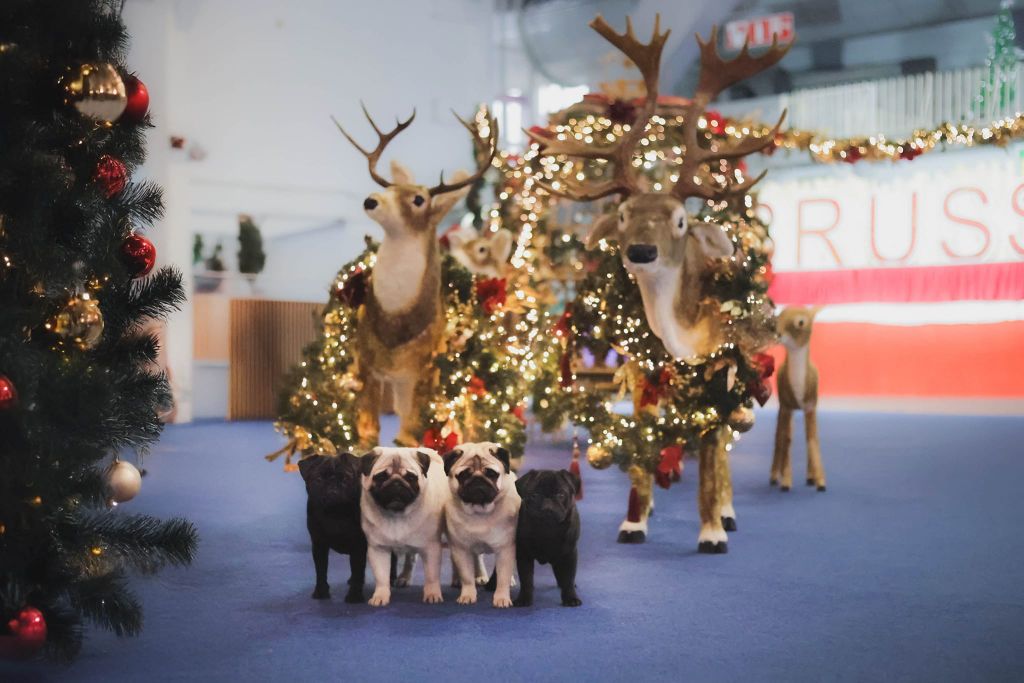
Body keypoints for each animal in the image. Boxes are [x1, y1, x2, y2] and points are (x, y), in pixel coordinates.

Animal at [296, 454, 368, 602]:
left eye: (345, 479)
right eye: (318, 479)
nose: (332, 490)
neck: (334, 513)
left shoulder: (359, 546)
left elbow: (358, 570)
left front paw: (354, 597)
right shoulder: (319, 545)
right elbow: (321, 571)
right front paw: (321, 592)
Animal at [360, 448, 448, 610]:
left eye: (411, 477)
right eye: (381, 477)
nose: (396, 483)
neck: (397, 514)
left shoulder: (431, 549)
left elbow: (432, 575)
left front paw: (432, 594)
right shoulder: (378, 550)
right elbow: (381, 577)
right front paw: (380, 596)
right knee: (410, 559)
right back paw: (404, 577)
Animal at [440, 444, 520, 610]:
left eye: (491, 473)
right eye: (464, 475)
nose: (477, 480)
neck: (480, 512)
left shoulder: (505, 549)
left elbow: (502, 577)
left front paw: (501, 597)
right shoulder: (461, 549)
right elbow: (467, 576)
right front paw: (467, 595)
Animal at [516, 471, 581, 610]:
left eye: (561, 495)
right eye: (534, 495)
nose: (547, 506)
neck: (547, 530)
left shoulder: (569, 555)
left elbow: (568, 578)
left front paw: (570, 598)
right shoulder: (524, 555)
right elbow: (526, 579)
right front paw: (524, 598)